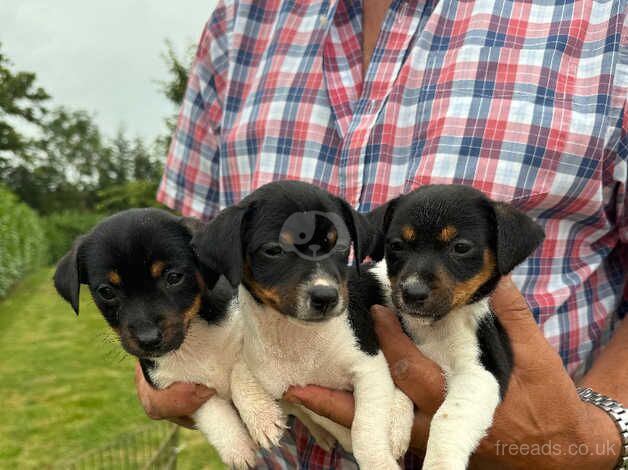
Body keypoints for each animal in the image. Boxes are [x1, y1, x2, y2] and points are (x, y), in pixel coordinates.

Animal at [54, 210, 258, 470]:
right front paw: (237, 447)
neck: (193, 340)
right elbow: (214, 413)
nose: (148, 339)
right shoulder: (180, 388)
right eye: (106, 291)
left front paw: (262, 417)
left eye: (173, 277)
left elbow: (244, 375)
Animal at [194, 181, 414, 470]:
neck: (298, 338)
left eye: (341, 245)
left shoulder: (368, 367)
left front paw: (378, 464)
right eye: (274, 250)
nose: (326, 297)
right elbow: (239, 376)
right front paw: (261, 417)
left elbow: (365, 431)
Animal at [368, 185, 544, 470]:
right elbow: (398, 388)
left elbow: (448, 418)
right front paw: (395, 426)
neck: (435, 328)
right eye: (395, 246)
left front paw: (440, 463)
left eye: (460, 247)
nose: (412, 293)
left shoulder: (482, 371)